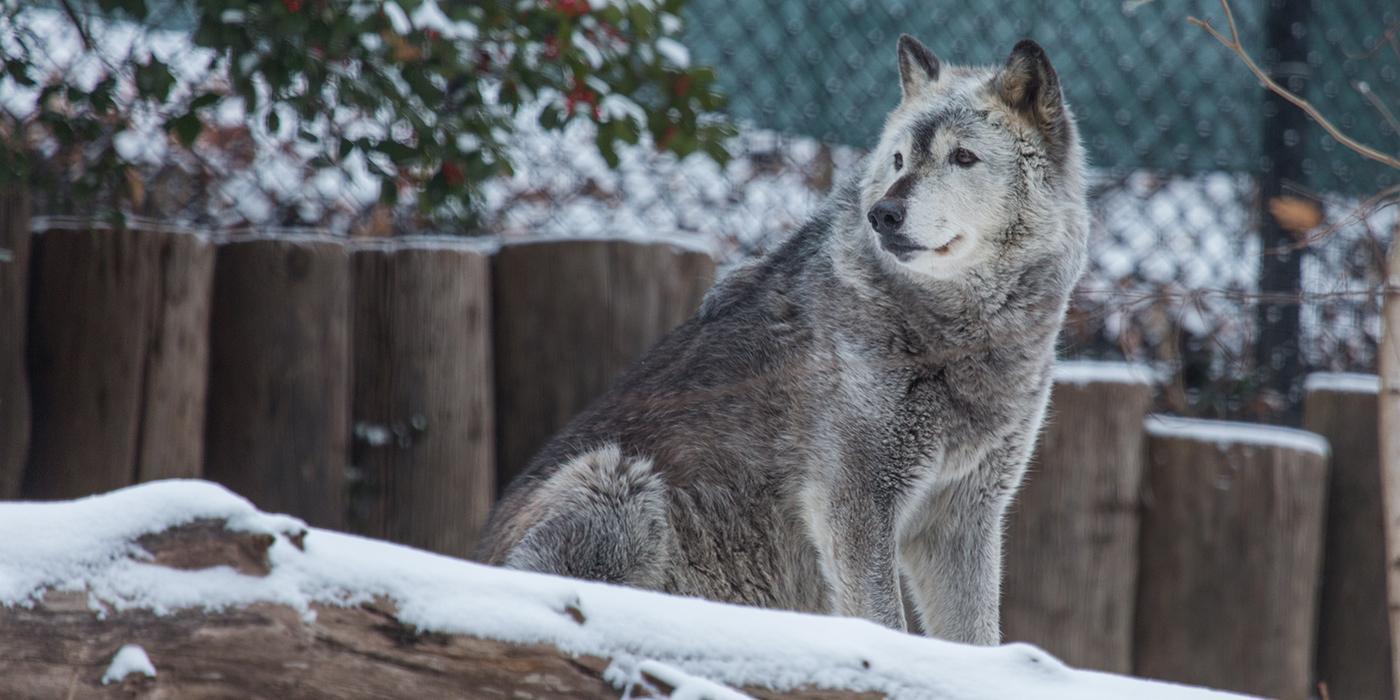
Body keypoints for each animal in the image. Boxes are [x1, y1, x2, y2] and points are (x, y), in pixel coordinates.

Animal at [481, 35, 1092, 641]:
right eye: (899, 160)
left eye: (963, 157)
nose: (883, 214)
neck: (958, 338)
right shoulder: (853, 505)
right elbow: (885, 625)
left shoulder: (964, 518)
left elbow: (974, 639)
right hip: (617, 480)